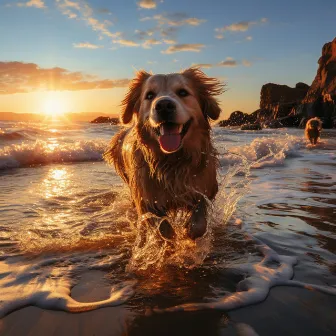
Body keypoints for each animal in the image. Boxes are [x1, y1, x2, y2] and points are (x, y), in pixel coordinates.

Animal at [103, 68, 224, 240]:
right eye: (149, 95)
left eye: (183, 92)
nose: (164, 105)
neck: (173, 159)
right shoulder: (147, 199)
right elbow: (163, 229)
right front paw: (172, 238)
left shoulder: (206, 188)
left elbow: (199, 221)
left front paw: (188, 232)